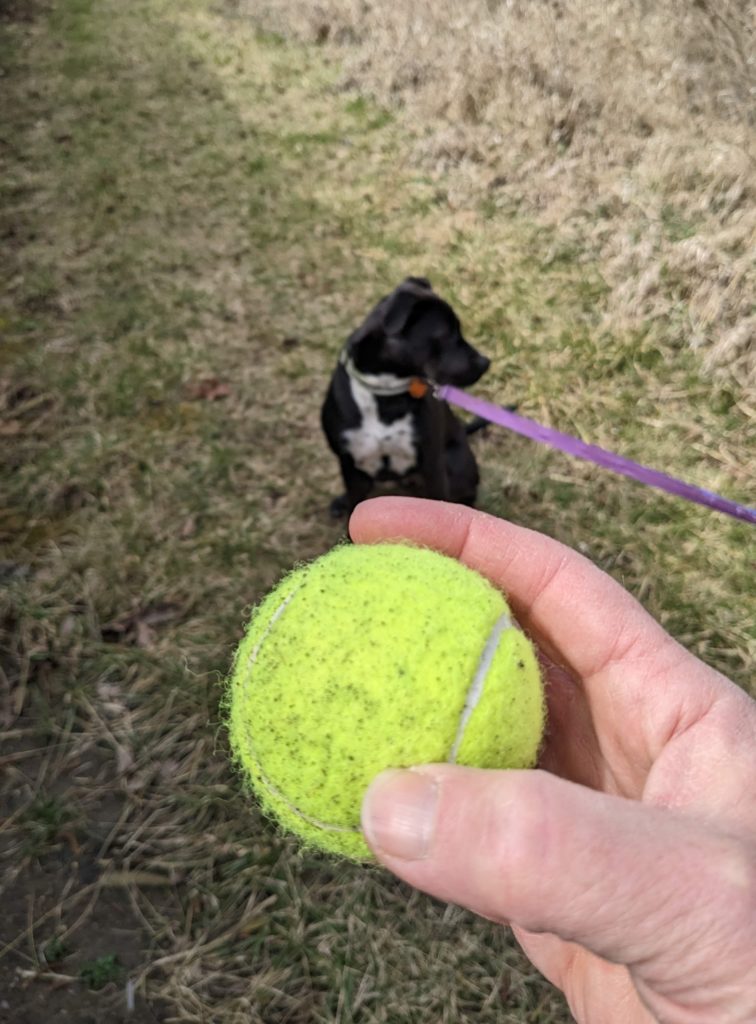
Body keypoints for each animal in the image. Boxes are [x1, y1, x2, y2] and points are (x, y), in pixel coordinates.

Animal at [319, 274, 489, 520]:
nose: (485, 362)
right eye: (446, 334)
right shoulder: (350, 465)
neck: (383, 392)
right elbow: (354, 501)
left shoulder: (432, 466)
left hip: (458, 465)